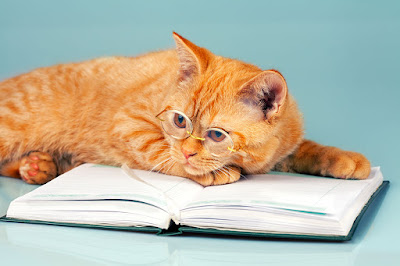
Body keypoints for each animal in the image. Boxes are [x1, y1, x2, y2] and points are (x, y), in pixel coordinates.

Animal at [0, 32, 370, 186]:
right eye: (180, 120)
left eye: (217, 135)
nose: (191, 151)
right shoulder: (128, 123)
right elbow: (160, 150)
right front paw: (207, 171)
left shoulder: (282, 148)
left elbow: (306, 149)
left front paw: (343, 158)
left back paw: (38, 166)